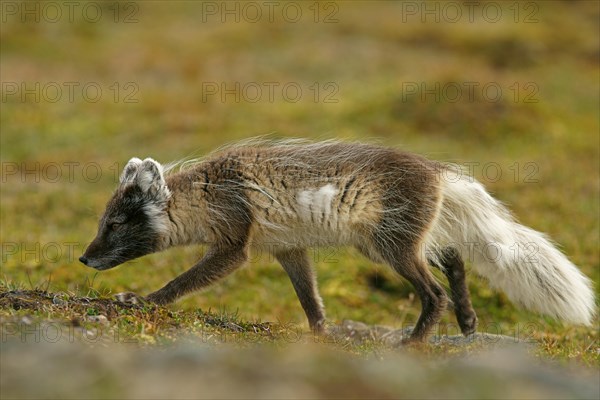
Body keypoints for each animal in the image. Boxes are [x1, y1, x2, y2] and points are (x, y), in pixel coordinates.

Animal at [79, 139, 596, 342]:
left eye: (115, 225)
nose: (84, 258)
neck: (206, 194)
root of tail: (438, 170)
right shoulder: (287, 248)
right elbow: (310, 299)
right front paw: (319, 335)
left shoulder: (234, 246)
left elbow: (180, 283)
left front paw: (140, 301)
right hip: (387, 243)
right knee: (453, 257)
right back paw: (469, 324)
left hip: (392, 246)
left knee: (435, 294)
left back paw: (413, 344)